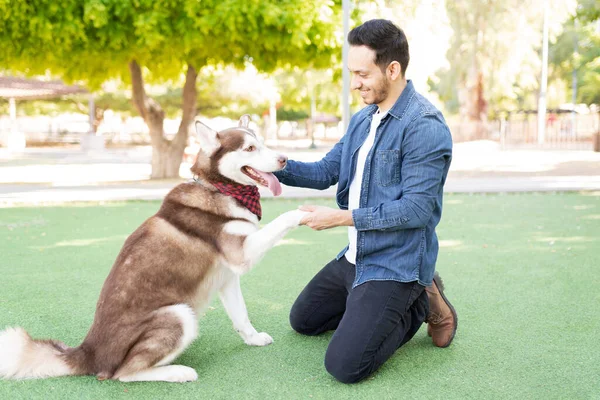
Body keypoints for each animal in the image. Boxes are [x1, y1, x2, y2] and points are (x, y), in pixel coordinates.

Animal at [0, 114, 308, 382]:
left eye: (263, 143)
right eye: (250, 148)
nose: (284, 159)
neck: (220, 189)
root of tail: (87, 353)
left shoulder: (228, 276)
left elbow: (241, 315)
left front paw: (253, 339)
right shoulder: (241, 253)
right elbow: (283, 219)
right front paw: (303, 212)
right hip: (179, 314)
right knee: (123, 374)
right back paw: (178, 372)